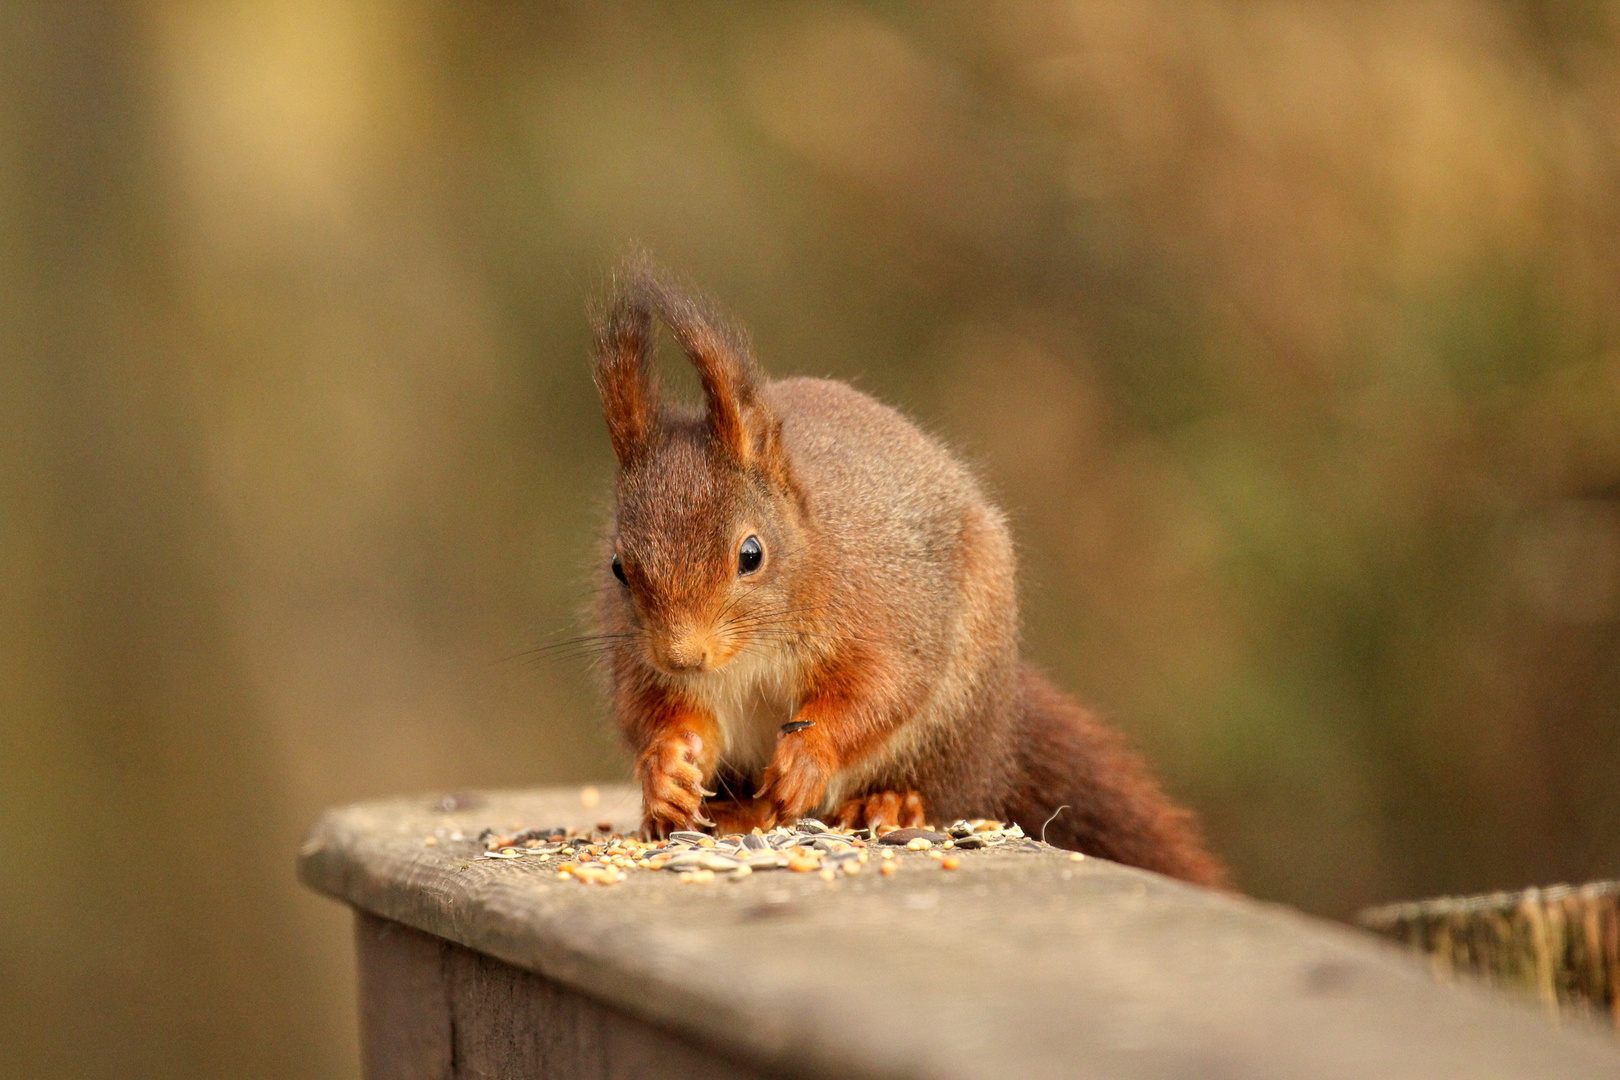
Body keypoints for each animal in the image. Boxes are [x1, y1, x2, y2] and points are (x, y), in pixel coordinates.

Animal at [592, 259, 1224, 887]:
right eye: (619, 567)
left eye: (752, 554)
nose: (682, 657)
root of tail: (1000, 730)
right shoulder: (643, 665)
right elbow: (660, 717)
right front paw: (665, 770)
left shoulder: (882, 611)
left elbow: (881, 689)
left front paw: (809, 757)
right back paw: (722, 813)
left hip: (951, 721)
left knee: (940, 787)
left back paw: (887, 802)